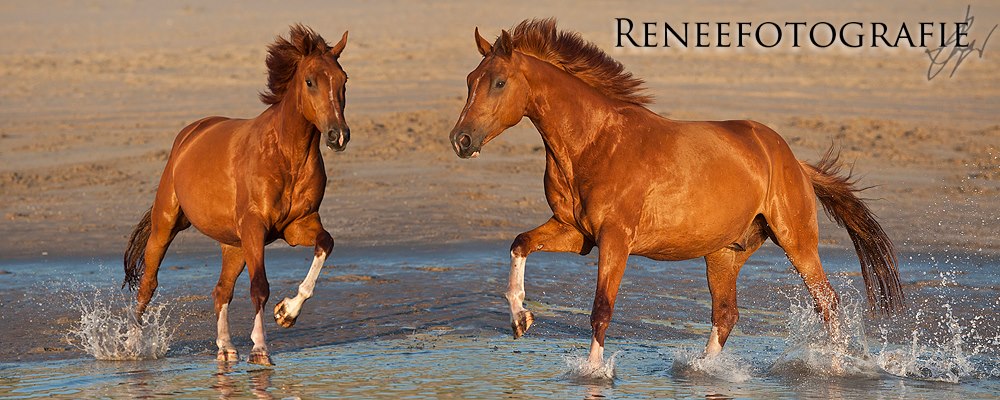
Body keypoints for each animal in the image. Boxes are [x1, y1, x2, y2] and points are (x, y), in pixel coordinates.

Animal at [122, 25, 352, 366]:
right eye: (310, 81)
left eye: (343, 79)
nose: (339, 136)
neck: (286, 154)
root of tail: (189, 135)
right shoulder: (255, 227)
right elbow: (259, 287)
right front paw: (260, 348)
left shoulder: (297, 226)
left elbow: (325, 244)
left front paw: (286, 312)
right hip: (166, 224)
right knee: (147, 285)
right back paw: (133, 347)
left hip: (235, 245)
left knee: (221, 290)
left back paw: (226, 347)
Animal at [450, 19, 904, 368]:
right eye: (470, 80)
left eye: (499, 82)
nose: (461, 140)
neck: (594, 142)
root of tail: (791, 159)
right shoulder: (575, 233)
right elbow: (520, 243)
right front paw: (519, 319)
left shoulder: (615, 239)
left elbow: (601, 310)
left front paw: (593, 372)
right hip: (724, 253)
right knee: (726, 314)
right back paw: (702, 368)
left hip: (798, 243)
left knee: (827, 304)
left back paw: (835, 366)